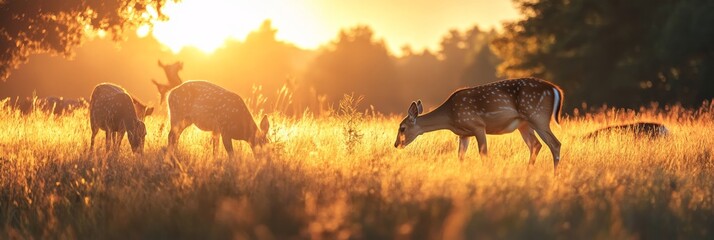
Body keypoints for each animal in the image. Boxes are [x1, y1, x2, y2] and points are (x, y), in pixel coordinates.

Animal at [392, 77, 564, 171]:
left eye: (402, 128)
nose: (396, 144)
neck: (450, 117)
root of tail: (555, 89)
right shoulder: (464, 134)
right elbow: (460, 157)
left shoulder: (478, 126)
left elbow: (483, 154)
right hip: (524, 124)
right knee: (536, 145)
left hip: (538, 116)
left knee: (555, 144)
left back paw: (554, 176)